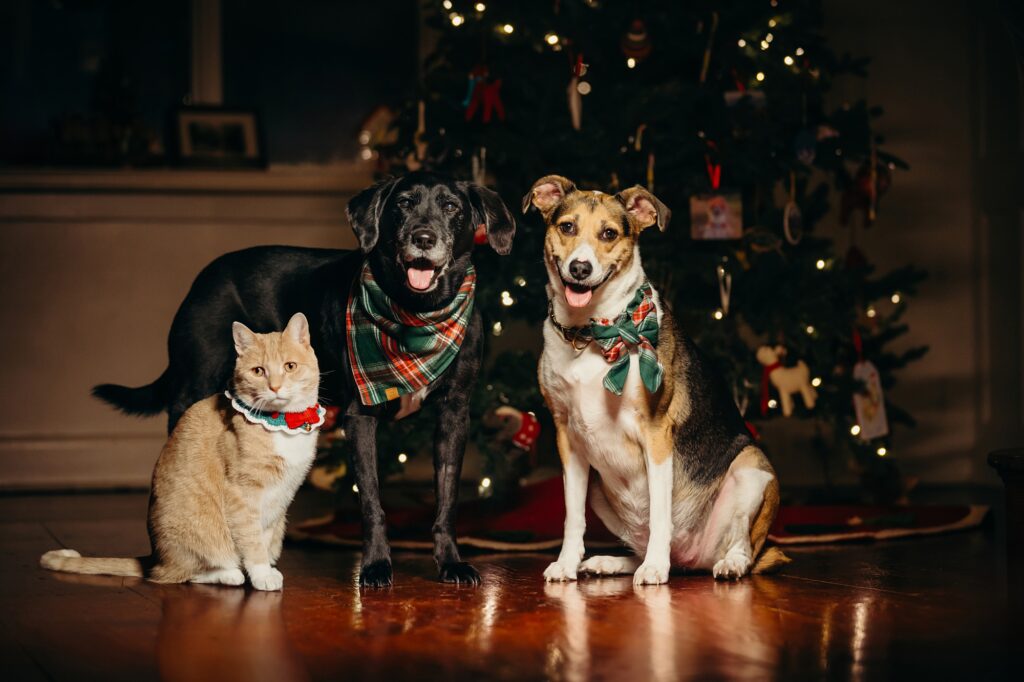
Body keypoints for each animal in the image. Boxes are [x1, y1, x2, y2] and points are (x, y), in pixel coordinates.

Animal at [40, 311, 323, 585]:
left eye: (290, 367)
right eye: (258, 371)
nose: (275, 387)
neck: (282, 421)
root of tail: (155, 558)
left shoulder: (278, 501)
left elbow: (262, 537)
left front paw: (262, 570)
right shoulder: (242, 494)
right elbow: (251, 540)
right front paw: (261, 574)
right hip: (192, 543)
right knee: (180, 574)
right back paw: (227, 574)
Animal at [93, 171, 516, 585]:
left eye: (452, 207)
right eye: (403, 204)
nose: (423, 238)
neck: (416, 315)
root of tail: (204, 277)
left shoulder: (454, 415)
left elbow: (447, 497)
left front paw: (451, 562)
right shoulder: (359, 417)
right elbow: (371, 502)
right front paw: (376, 565)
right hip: (192, 390)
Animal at [524, 176, 786, 585]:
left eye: (609, 233)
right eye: (566, 227)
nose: (580, 268)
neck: (593, 333)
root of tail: (692, 558)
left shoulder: (657, 434)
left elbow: (661, 514)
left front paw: (654, 568)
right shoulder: (567, 436)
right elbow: (572, 516)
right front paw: (566, 563)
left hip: (751, 468)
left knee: (741, 542)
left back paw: (725, 564)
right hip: (599, 489)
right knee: (641, 544)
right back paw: (614, 562)